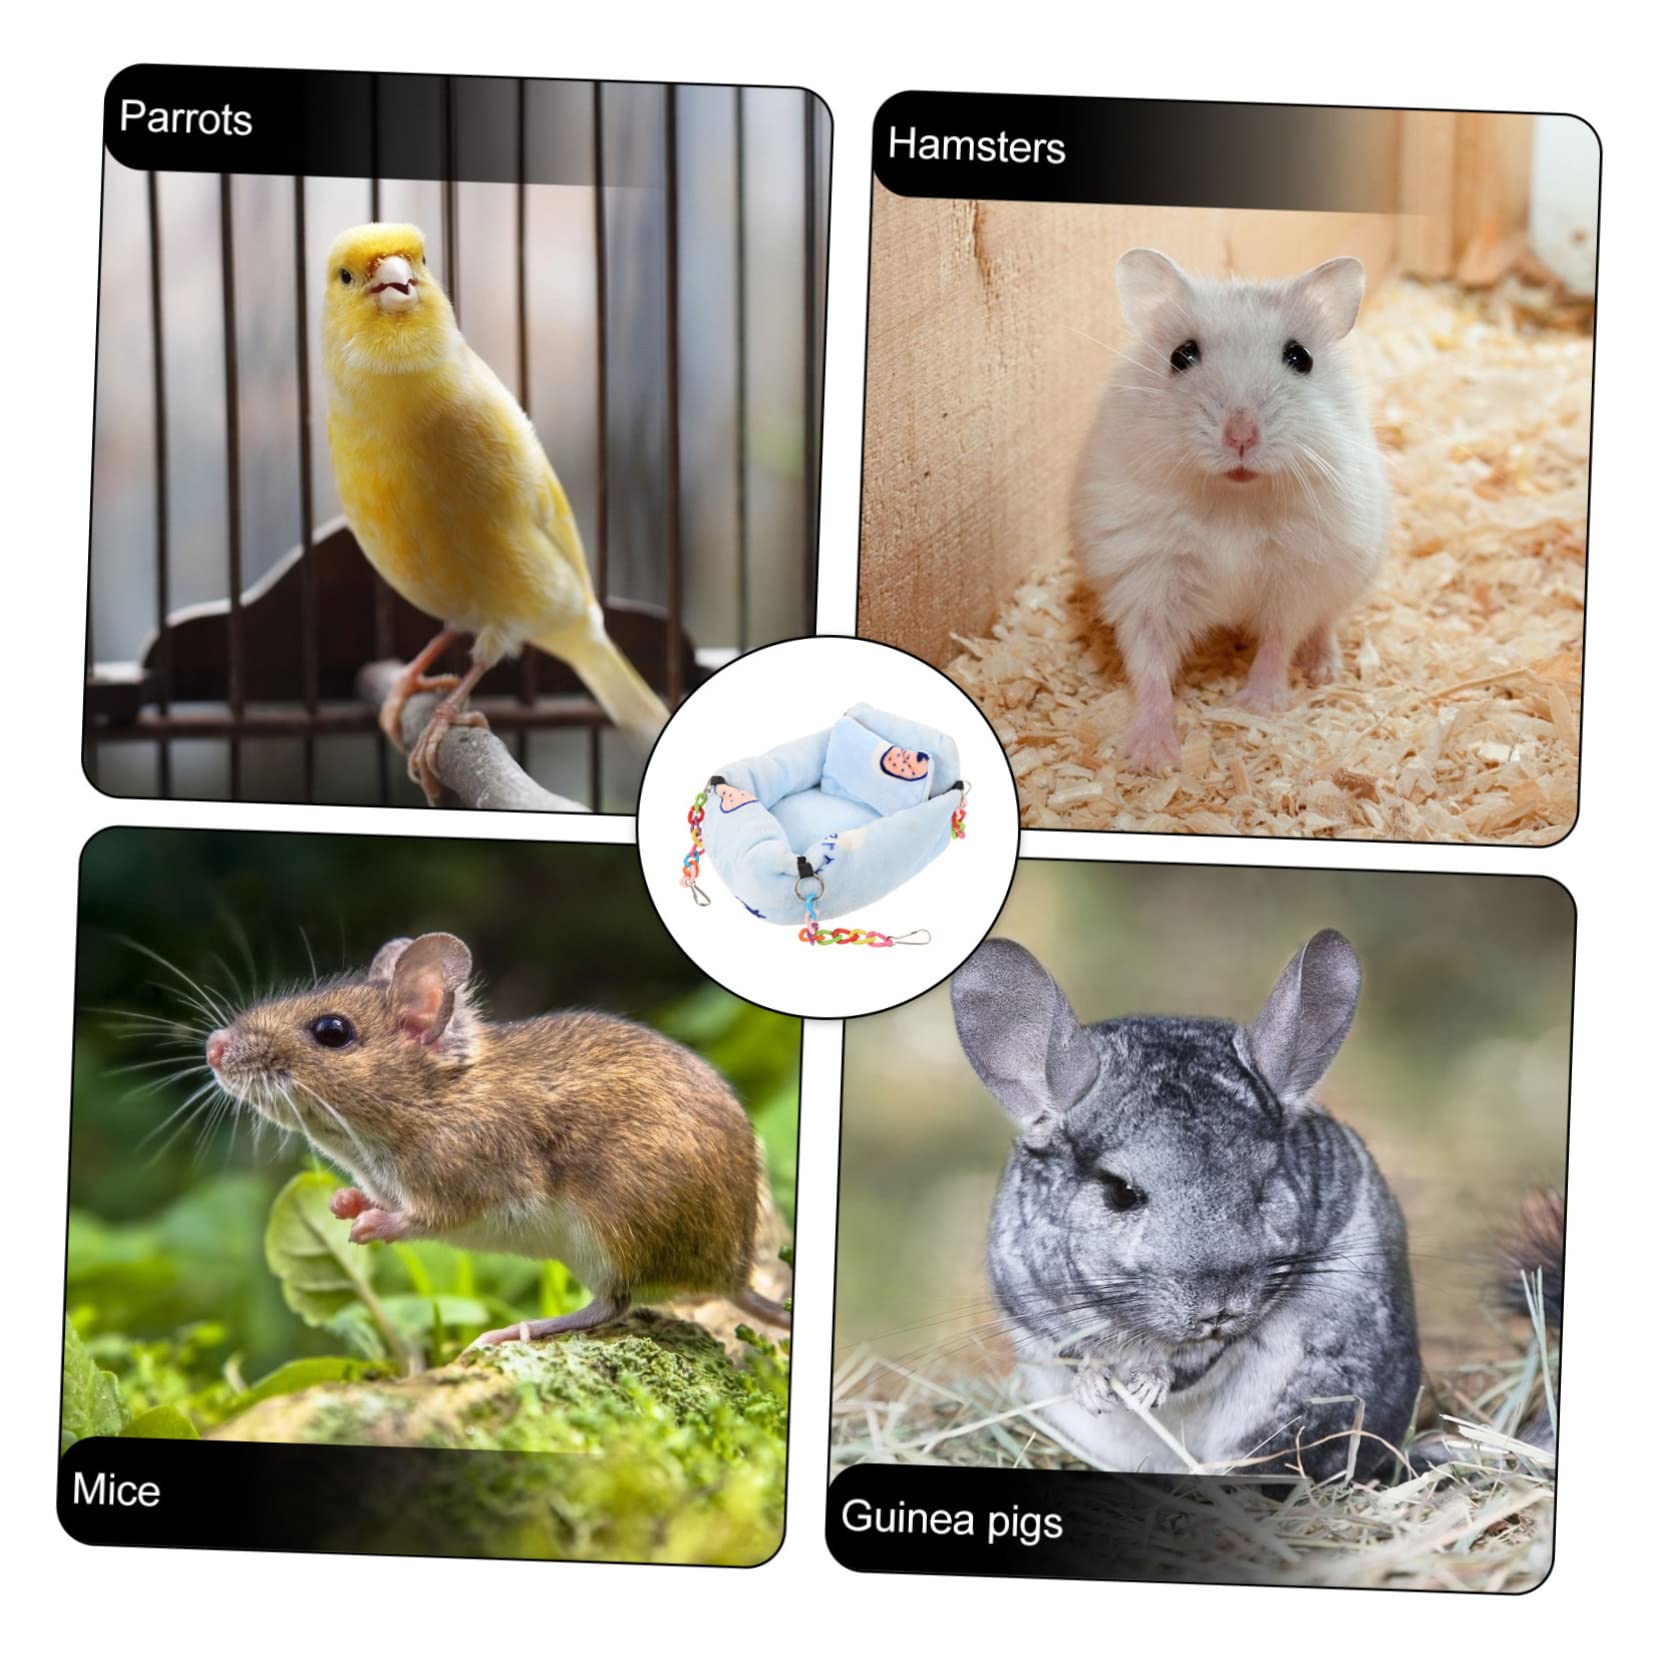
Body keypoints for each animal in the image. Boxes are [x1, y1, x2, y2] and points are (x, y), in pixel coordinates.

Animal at [203, 932, 790, 1345]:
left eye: (331, 1031)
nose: (212, 1047)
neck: (435, 1096)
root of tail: (734, 1276)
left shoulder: (465, 1185)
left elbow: (419, 1220)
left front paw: (370, 1225)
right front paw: (344, 1203)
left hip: (610, 1232)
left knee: (610, 1306)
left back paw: (517, 1329)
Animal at [951, 930, 1418, 1480]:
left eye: (1264, 1185)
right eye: (1121, 1192)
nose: (1219, 1308)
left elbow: (1183, 1363)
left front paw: (1145, 1385)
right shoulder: (1031, 1303)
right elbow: (1076, 1352)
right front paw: (1096, 1387)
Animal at [1072, 249, 1391, 771]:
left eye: (1300, 358)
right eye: (1181, 356)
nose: (1240, 435)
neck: (1235, 500)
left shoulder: (1298, 576)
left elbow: (1280, 639)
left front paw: (1257, 706)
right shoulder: (1146, 580)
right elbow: (1150, 664)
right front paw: (1152, 757)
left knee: (1324, 624)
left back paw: (1323, 669)